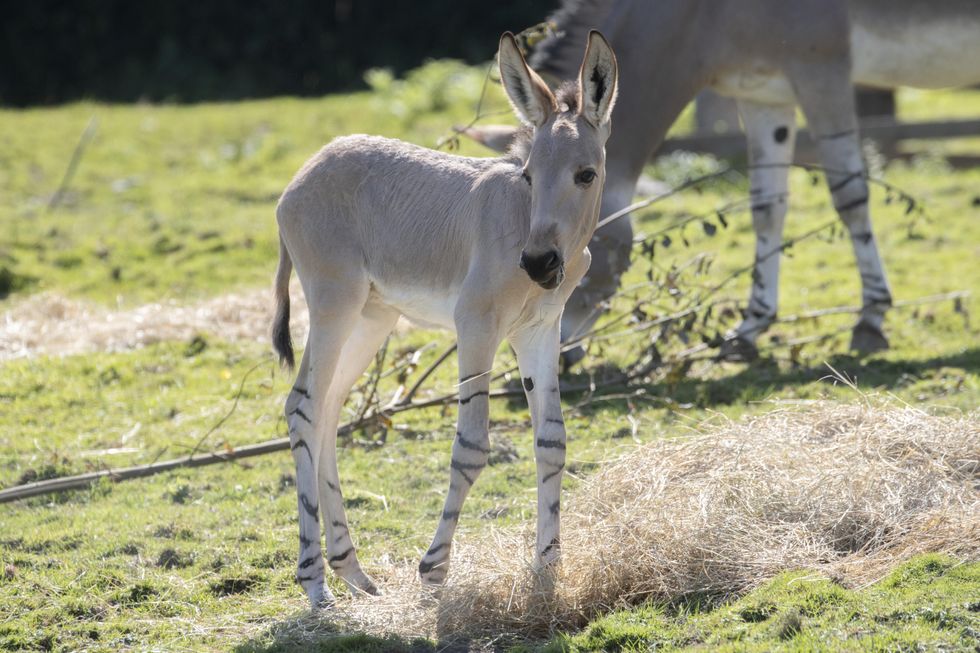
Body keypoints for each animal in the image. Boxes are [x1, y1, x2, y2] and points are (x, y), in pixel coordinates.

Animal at [272, 31, 616, 608]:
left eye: (585, 175)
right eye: (528, 175)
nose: (538, 264)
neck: (523, 222)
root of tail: (304, 172)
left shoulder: (539, 332)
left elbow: (552, 440)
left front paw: (547, 569)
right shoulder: (475, 324)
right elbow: (472, 446)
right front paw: (434, 569)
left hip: (372, 317)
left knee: (327, 408)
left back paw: (351, 571)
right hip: (332, 304)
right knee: (302, 407)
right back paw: (316, 583)